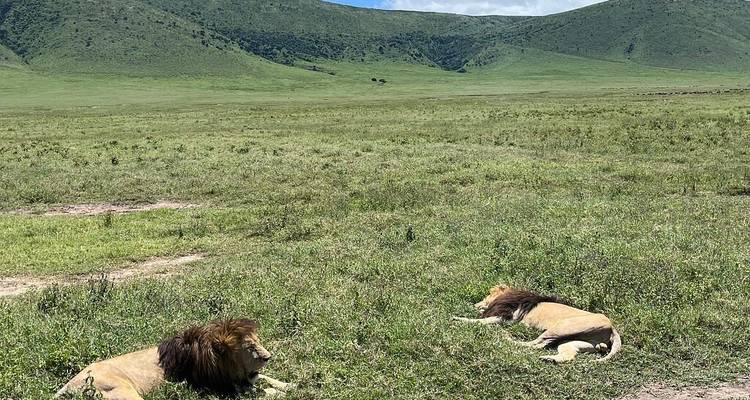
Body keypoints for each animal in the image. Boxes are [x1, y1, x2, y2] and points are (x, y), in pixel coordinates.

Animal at [55, 319, 295, 399]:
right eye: (250, 347)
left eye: (258, 341)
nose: (268, 357)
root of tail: (67, 386)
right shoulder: (218, 387)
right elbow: (259, 390)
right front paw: (279, 393)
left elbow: (264, 379)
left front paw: (288, 384)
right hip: (123, 392)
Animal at [453, 285, 621, 363]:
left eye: (486, 296)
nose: (475, 304)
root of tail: (612, 328)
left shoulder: (508, 317)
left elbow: (481, 321)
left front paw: (457, 319)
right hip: (573, 341)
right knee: (567, 354)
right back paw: (549, 359)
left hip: (561, 327)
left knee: (536, 344)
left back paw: (505, 337)